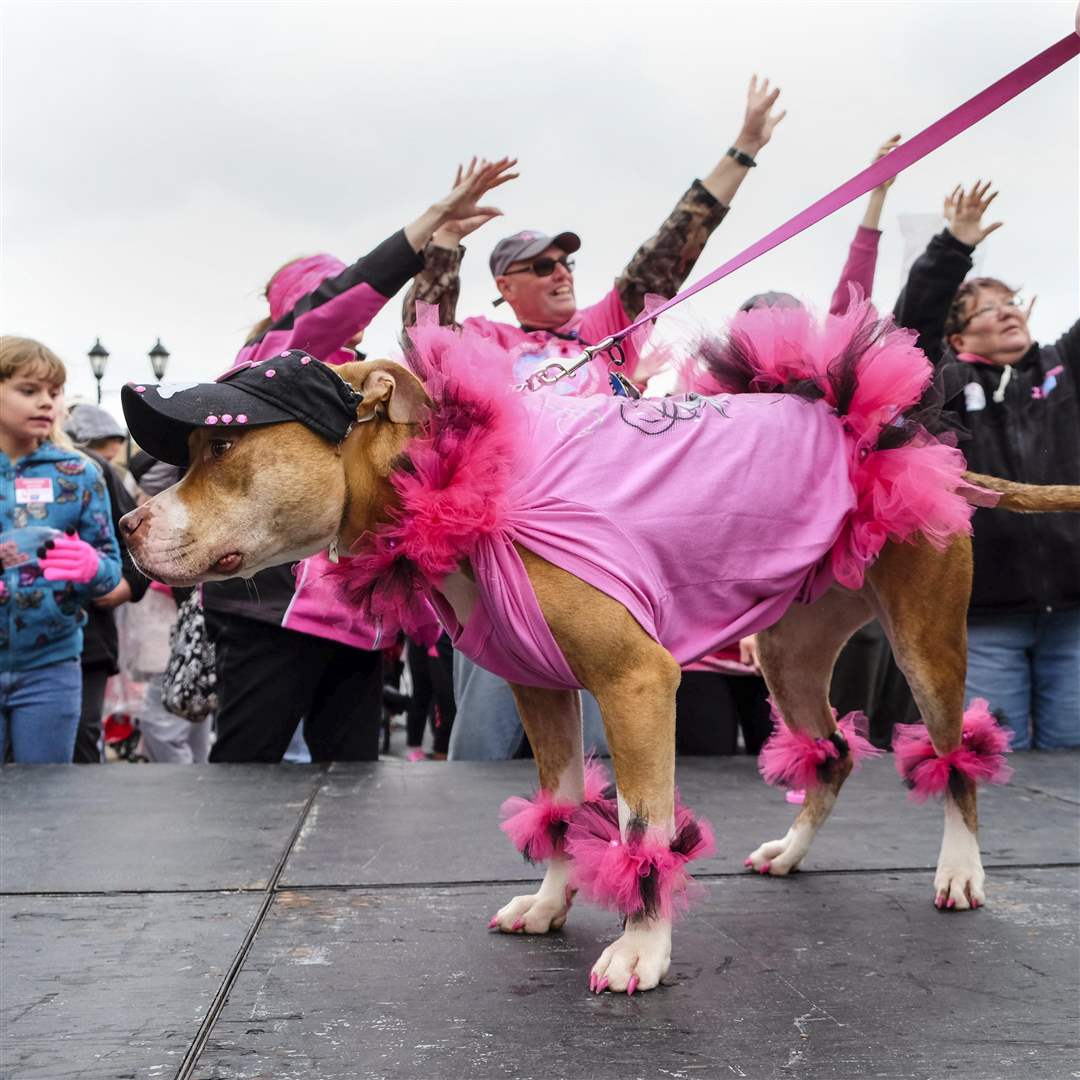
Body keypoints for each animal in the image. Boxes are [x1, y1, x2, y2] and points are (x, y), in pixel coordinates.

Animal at [118, 311, 1080, 993]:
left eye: (223, 443)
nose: (126, 522)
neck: (452, 482)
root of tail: (916, 444)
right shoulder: (541, 688)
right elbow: (557, 807)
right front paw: (551, 902)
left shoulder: (636, 682)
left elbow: (639, 825)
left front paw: (641, 947)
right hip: (788, 654)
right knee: (834, 752)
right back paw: (790, 853)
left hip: (925, 644)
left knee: (954, 758)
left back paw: (960, 869)